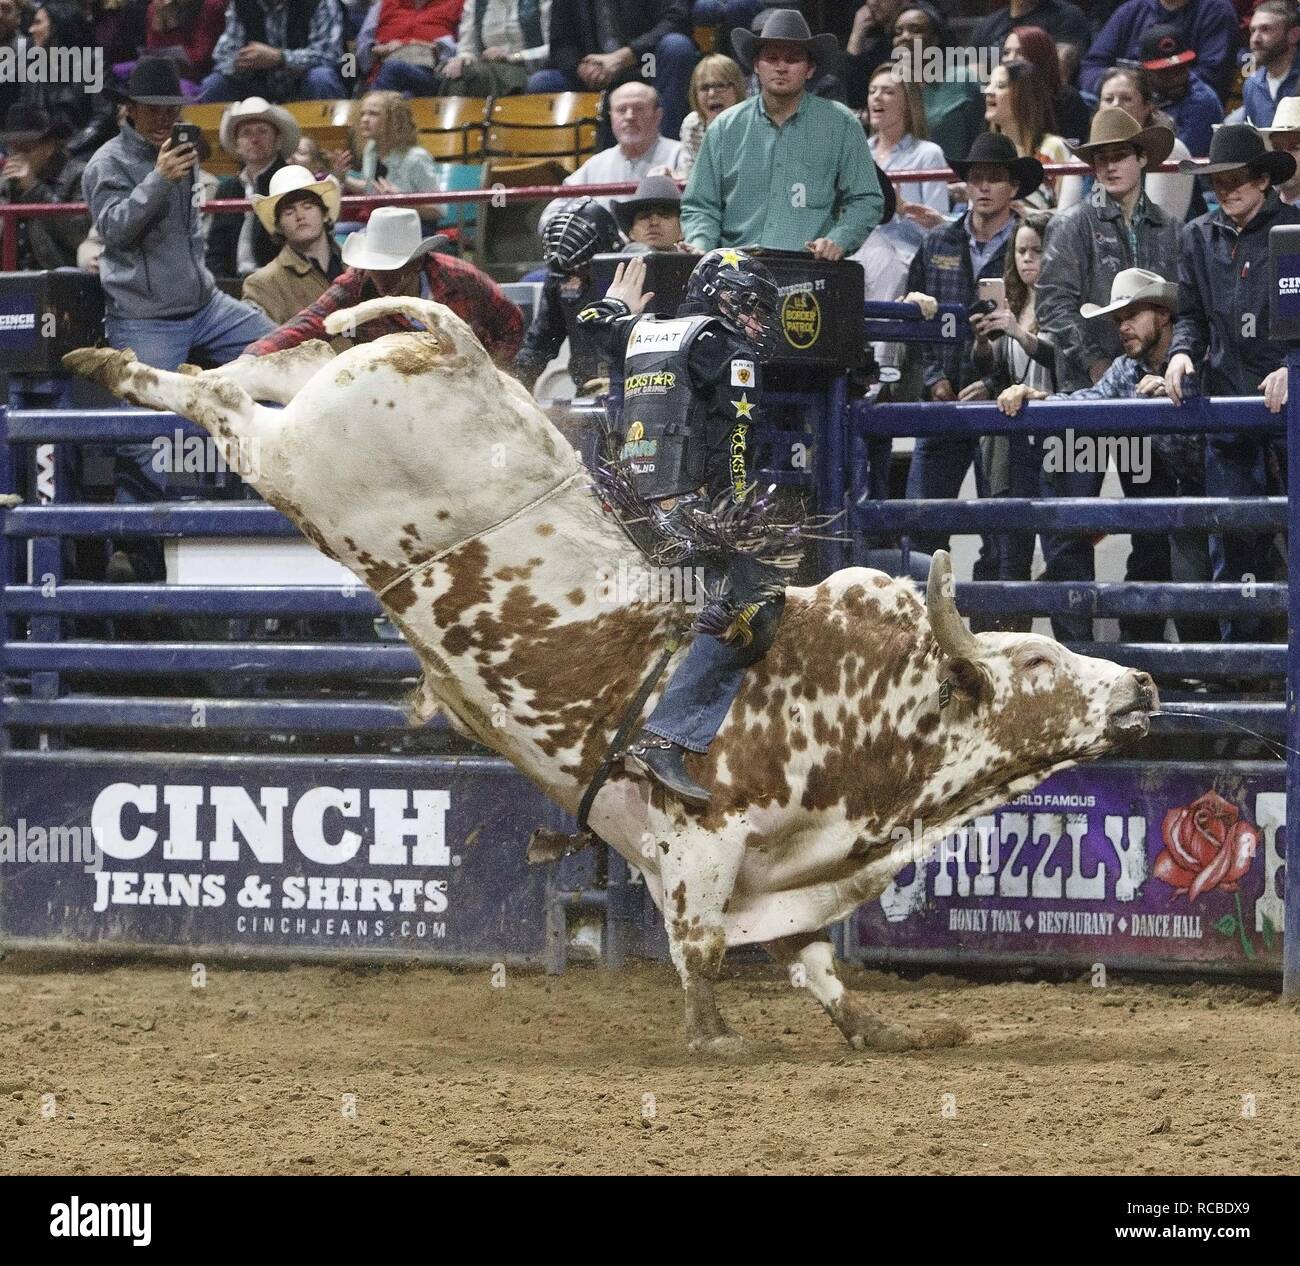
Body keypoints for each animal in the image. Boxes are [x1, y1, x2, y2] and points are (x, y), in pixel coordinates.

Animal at [65, 302, 1154, 1055]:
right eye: (1040, 659)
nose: (1141, 687)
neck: (886, 720)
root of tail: (461, 357)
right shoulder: (700, 845)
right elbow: (701, 947)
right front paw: (714, 1038)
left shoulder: (780, 876)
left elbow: (810, 965)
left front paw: (883, 1032)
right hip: (299, 467)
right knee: (218, 403)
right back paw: (115, 366)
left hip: (316, 414)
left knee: (260, 367)